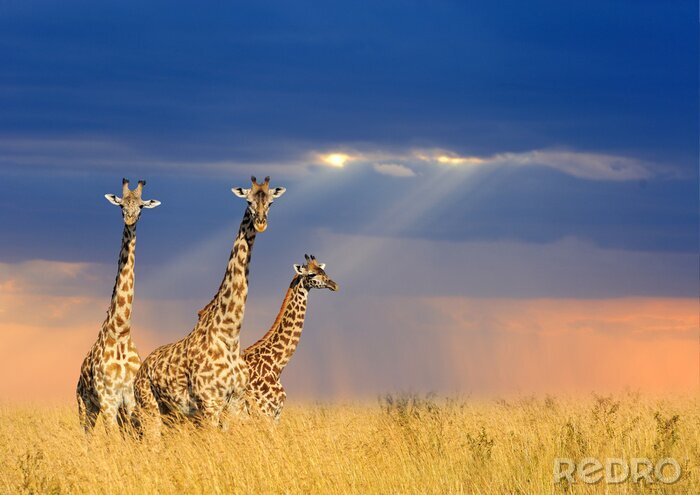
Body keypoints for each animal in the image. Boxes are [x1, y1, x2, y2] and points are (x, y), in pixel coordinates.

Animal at [76, 178, 161, 433]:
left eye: (141, 206)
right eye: (121, 205)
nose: (130, 219)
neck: (121, 330)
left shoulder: (129, 399)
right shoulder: (108, 400)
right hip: (85, 405)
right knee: (86, 435)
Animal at [133, 176, 285, 433]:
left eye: (271, 202)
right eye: (248, 201)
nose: (261, 223)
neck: (230, 334)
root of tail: (140, 371)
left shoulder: (235, 403)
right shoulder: (210, 404)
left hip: (172, 414)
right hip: (149, 407)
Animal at [242, 254, 338, 421]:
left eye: (324, 271)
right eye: (311, 274)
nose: (334, 285)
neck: (276, 366)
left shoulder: (275, 415)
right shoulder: (264, 412)